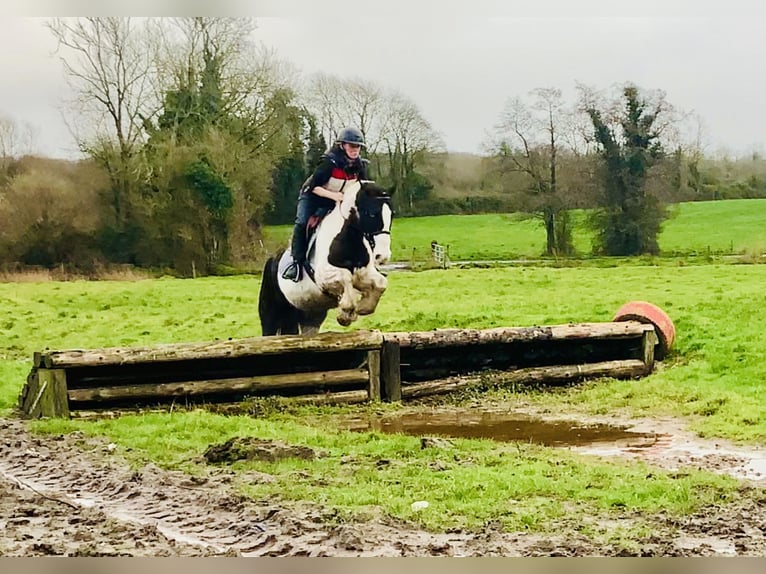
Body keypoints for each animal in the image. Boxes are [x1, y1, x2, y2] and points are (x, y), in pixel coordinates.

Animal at [258, 180, 394, 336]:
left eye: (391, 215)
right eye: (371, 214)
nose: (382, 256)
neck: (348, 238)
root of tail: (272, 260)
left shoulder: (363, 272)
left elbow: (380, 283)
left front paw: (363, 308)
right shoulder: (325, 275)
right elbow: (345, 278)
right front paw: (345, 316)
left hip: (308, 313)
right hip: (271, 312)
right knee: (269, 327)